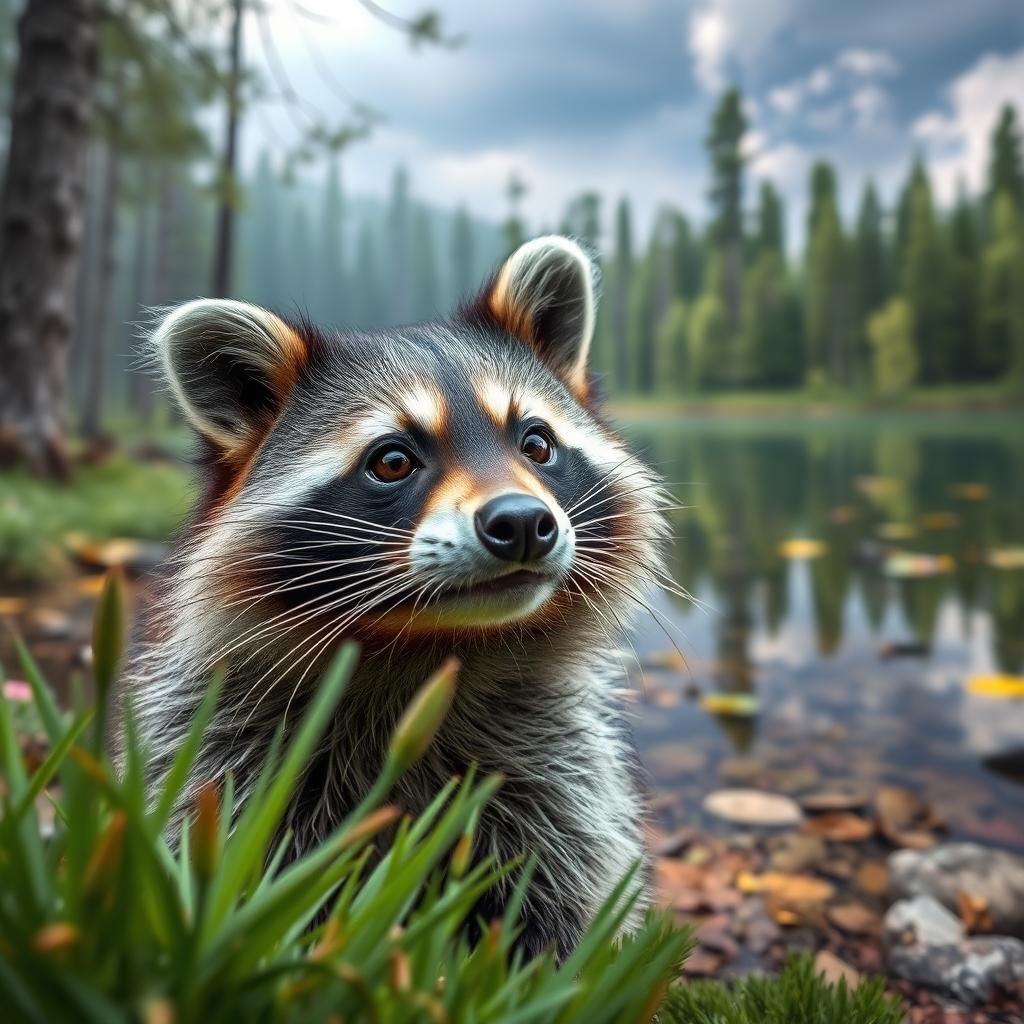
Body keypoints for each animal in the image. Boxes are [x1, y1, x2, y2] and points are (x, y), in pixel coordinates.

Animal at [127, 236, 672, 959]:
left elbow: (568, 907)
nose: (524, 523)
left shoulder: (556, 780)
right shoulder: (229, 766)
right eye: (393, 460)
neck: (431, 644)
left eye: (536, 443)